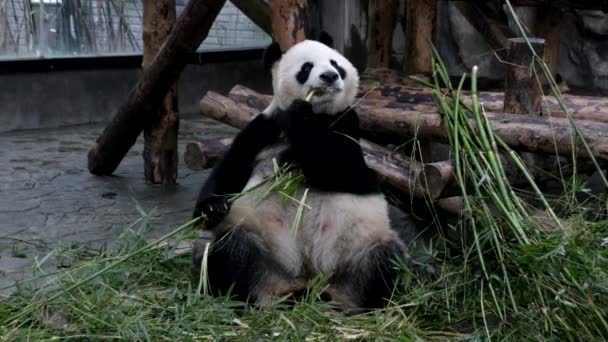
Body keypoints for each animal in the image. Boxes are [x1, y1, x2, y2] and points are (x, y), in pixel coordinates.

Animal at [191, 32, 408, 312]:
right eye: (306, 68)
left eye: (335, 64)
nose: (329, 76)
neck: (319, 114)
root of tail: (307, 283)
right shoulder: (263, 129)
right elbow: (230, 168)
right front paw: (212, 208)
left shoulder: (347, 124)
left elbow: (341, 169)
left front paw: (302, 119)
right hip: (260, 247)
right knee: (228, 250)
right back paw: (251, 298)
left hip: (359, 249)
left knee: (384, 261)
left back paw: (359, 305)